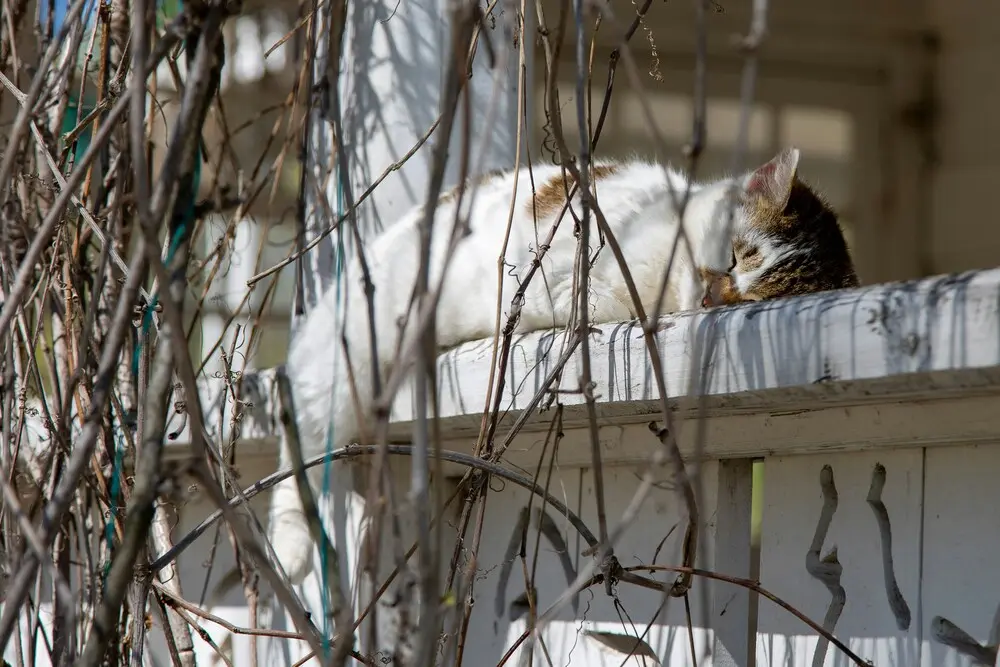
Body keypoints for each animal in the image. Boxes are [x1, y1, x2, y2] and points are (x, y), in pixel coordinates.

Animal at [268, 146, 860, 584]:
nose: (714, 294)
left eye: (750, 299)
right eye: (736, 255)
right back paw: (290, 545)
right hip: (353, 354)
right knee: (304, 434)